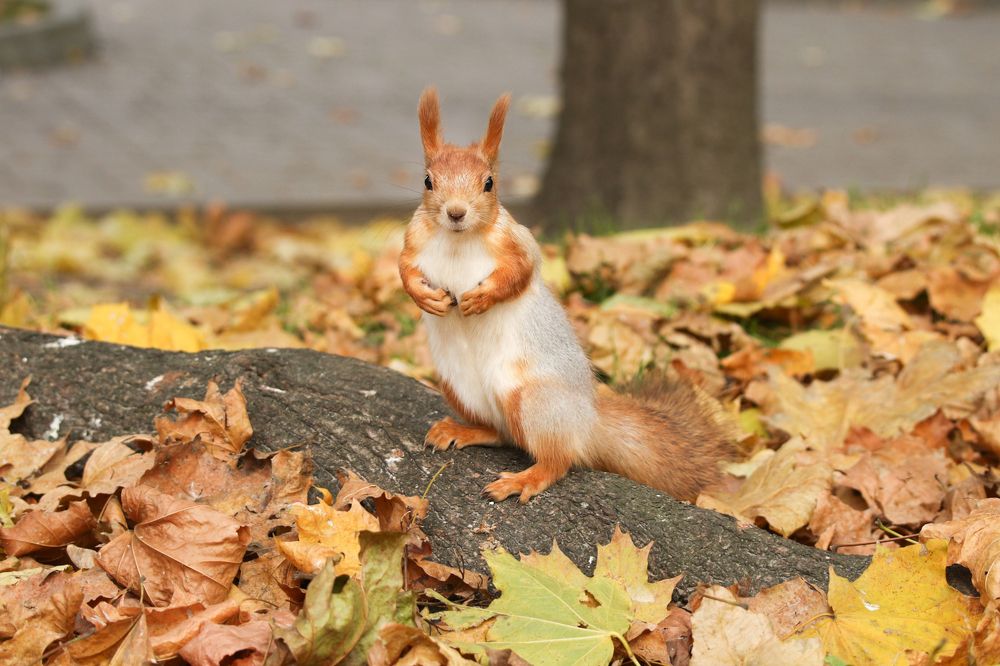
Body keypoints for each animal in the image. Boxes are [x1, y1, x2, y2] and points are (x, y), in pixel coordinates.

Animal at [399, 87, 733, 503]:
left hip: (535, 402)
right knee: (501, 433)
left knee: (557, 459)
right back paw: (461, 430)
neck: (458, 240)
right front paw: (424, 297)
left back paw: (524, 479)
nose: (456, 212)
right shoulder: (413, 242)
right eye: (428, 181)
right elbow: (404, 270)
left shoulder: (519, 244)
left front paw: (482, 298)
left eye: (489, 183)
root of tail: (587, 424)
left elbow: (519, 274)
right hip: (458, 388)